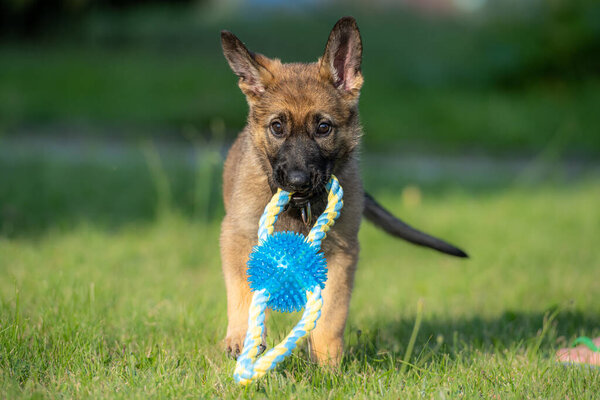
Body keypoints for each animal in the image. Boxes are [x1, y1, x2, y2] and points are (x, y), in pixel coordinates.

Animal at [220, 15, 468, 366]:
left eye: (323, 128)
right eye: (277, 127)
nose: (297, 181)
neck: (299, 210)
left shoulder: (341, 255)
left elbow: (331, 316)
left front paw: (328, 367)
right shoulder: (238, 237)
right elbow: (242, 290)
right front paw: (242, 338)